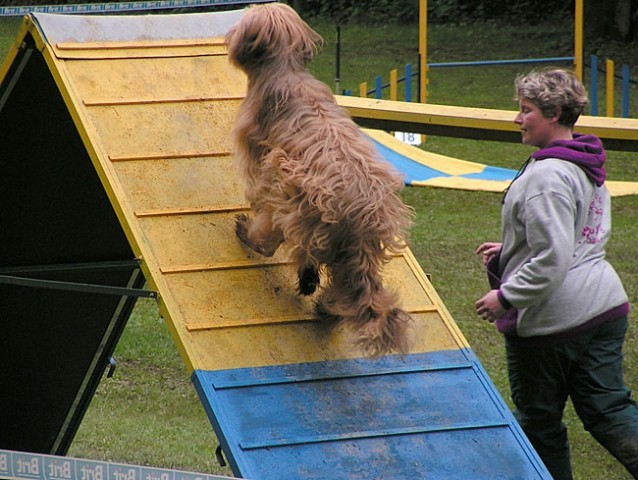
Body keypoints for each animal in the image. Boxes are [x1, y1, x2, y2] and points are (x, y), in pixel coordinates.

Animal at [225, 1, 416, 356]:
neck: (284, 70)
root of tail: (365, 218)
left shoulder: (255, 148)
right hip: (345, 250)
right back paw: (324, 302)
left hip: (288, 185)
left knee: (276, 242)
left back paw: (250, 233)